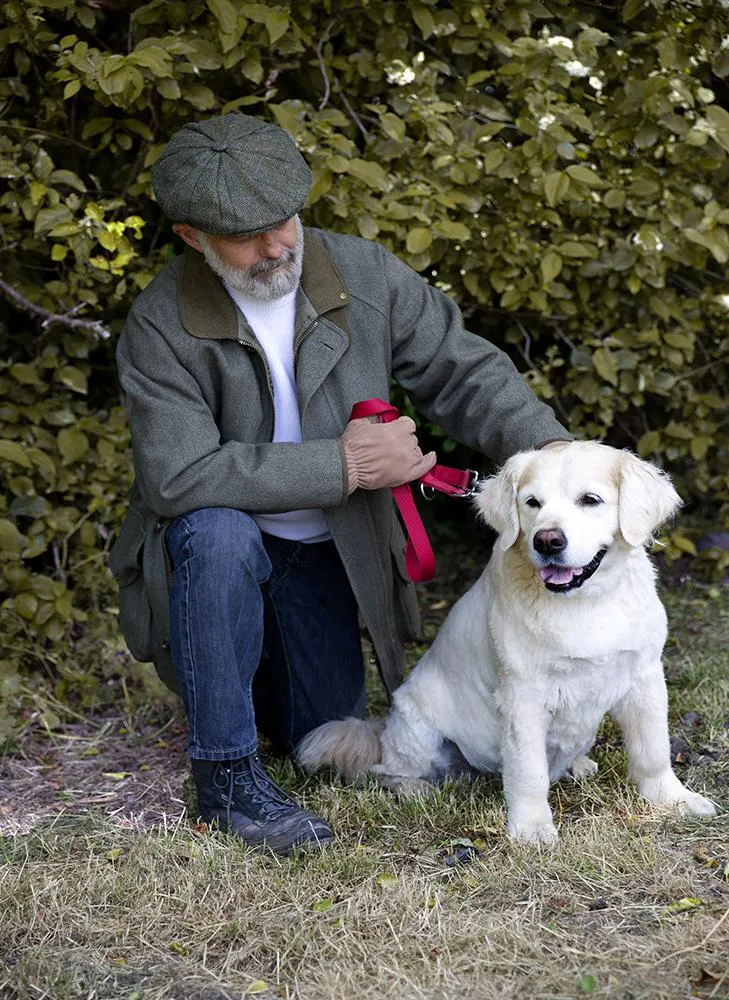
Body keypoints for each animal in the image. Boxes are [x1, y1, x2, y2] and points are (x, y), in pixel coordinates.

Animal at [298, 442, 716, 840]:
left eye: (590, 500)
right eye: (532, 503)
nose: (547, 540)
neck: (585, 601)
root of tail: (381, 730)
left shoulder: (644, 677)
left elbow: (654, 751)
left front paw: (674, 800)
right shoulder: (522, 697)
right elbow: (529, 771)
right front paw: (531, 828)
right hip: (417, 729)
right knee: (384, 770)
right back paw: (416, 789)